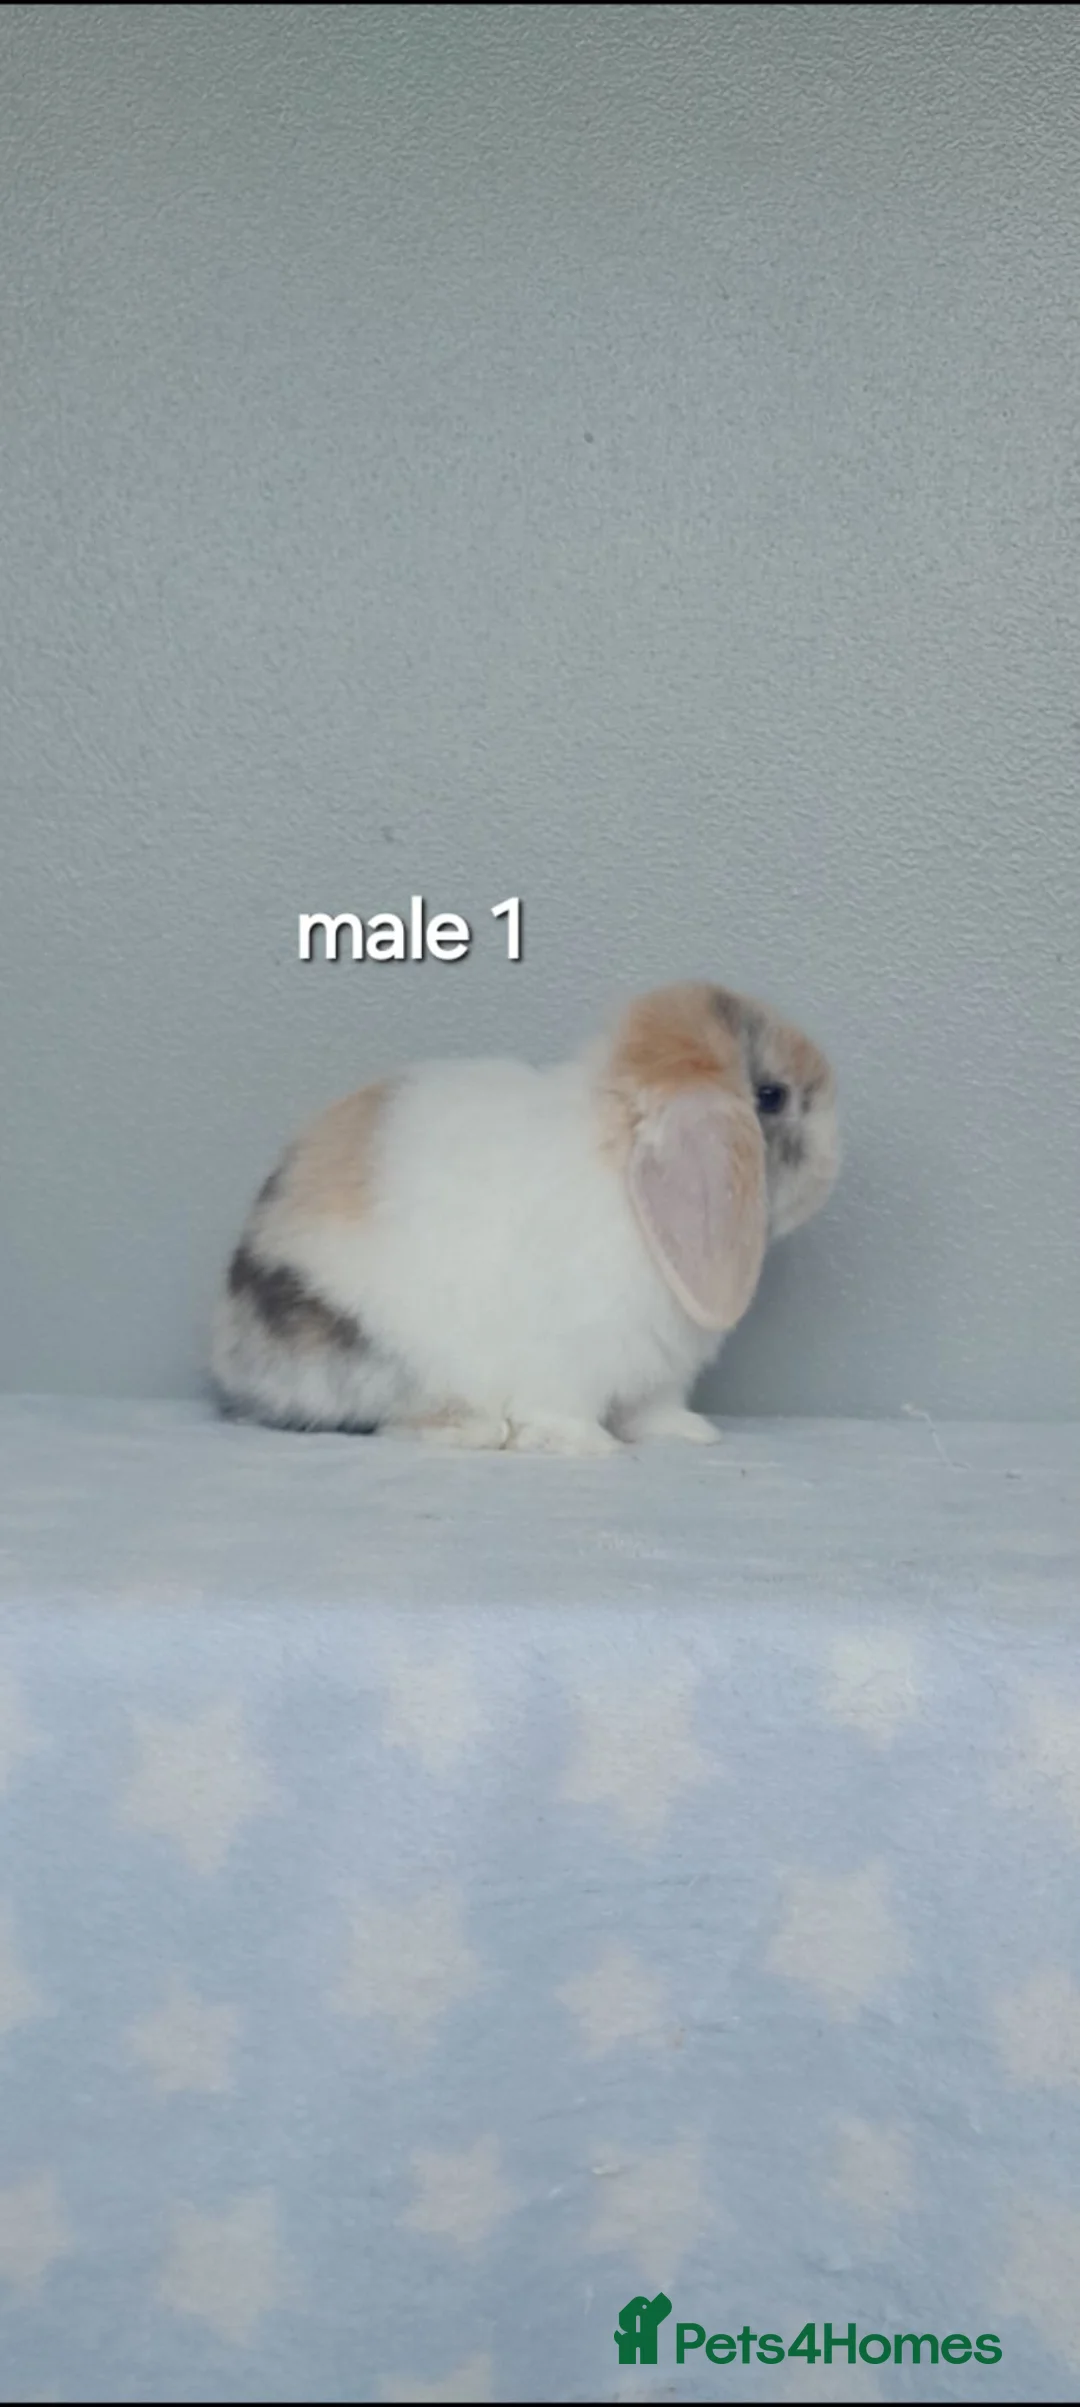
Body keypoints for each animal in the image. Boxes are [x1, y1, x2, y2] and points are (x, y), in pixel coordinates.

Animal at [210, 981, 839, 1455]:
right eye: (772, 1095)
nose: (833, 1162)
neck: (621, 1161)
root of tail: (234, 1361)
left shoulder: (658, 1374)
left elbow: (653, 1410)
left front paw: (691, 1434)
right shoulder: (567, 1359)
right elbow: (561, 1410)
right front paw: (587, 1446)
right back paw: (474, 1430)